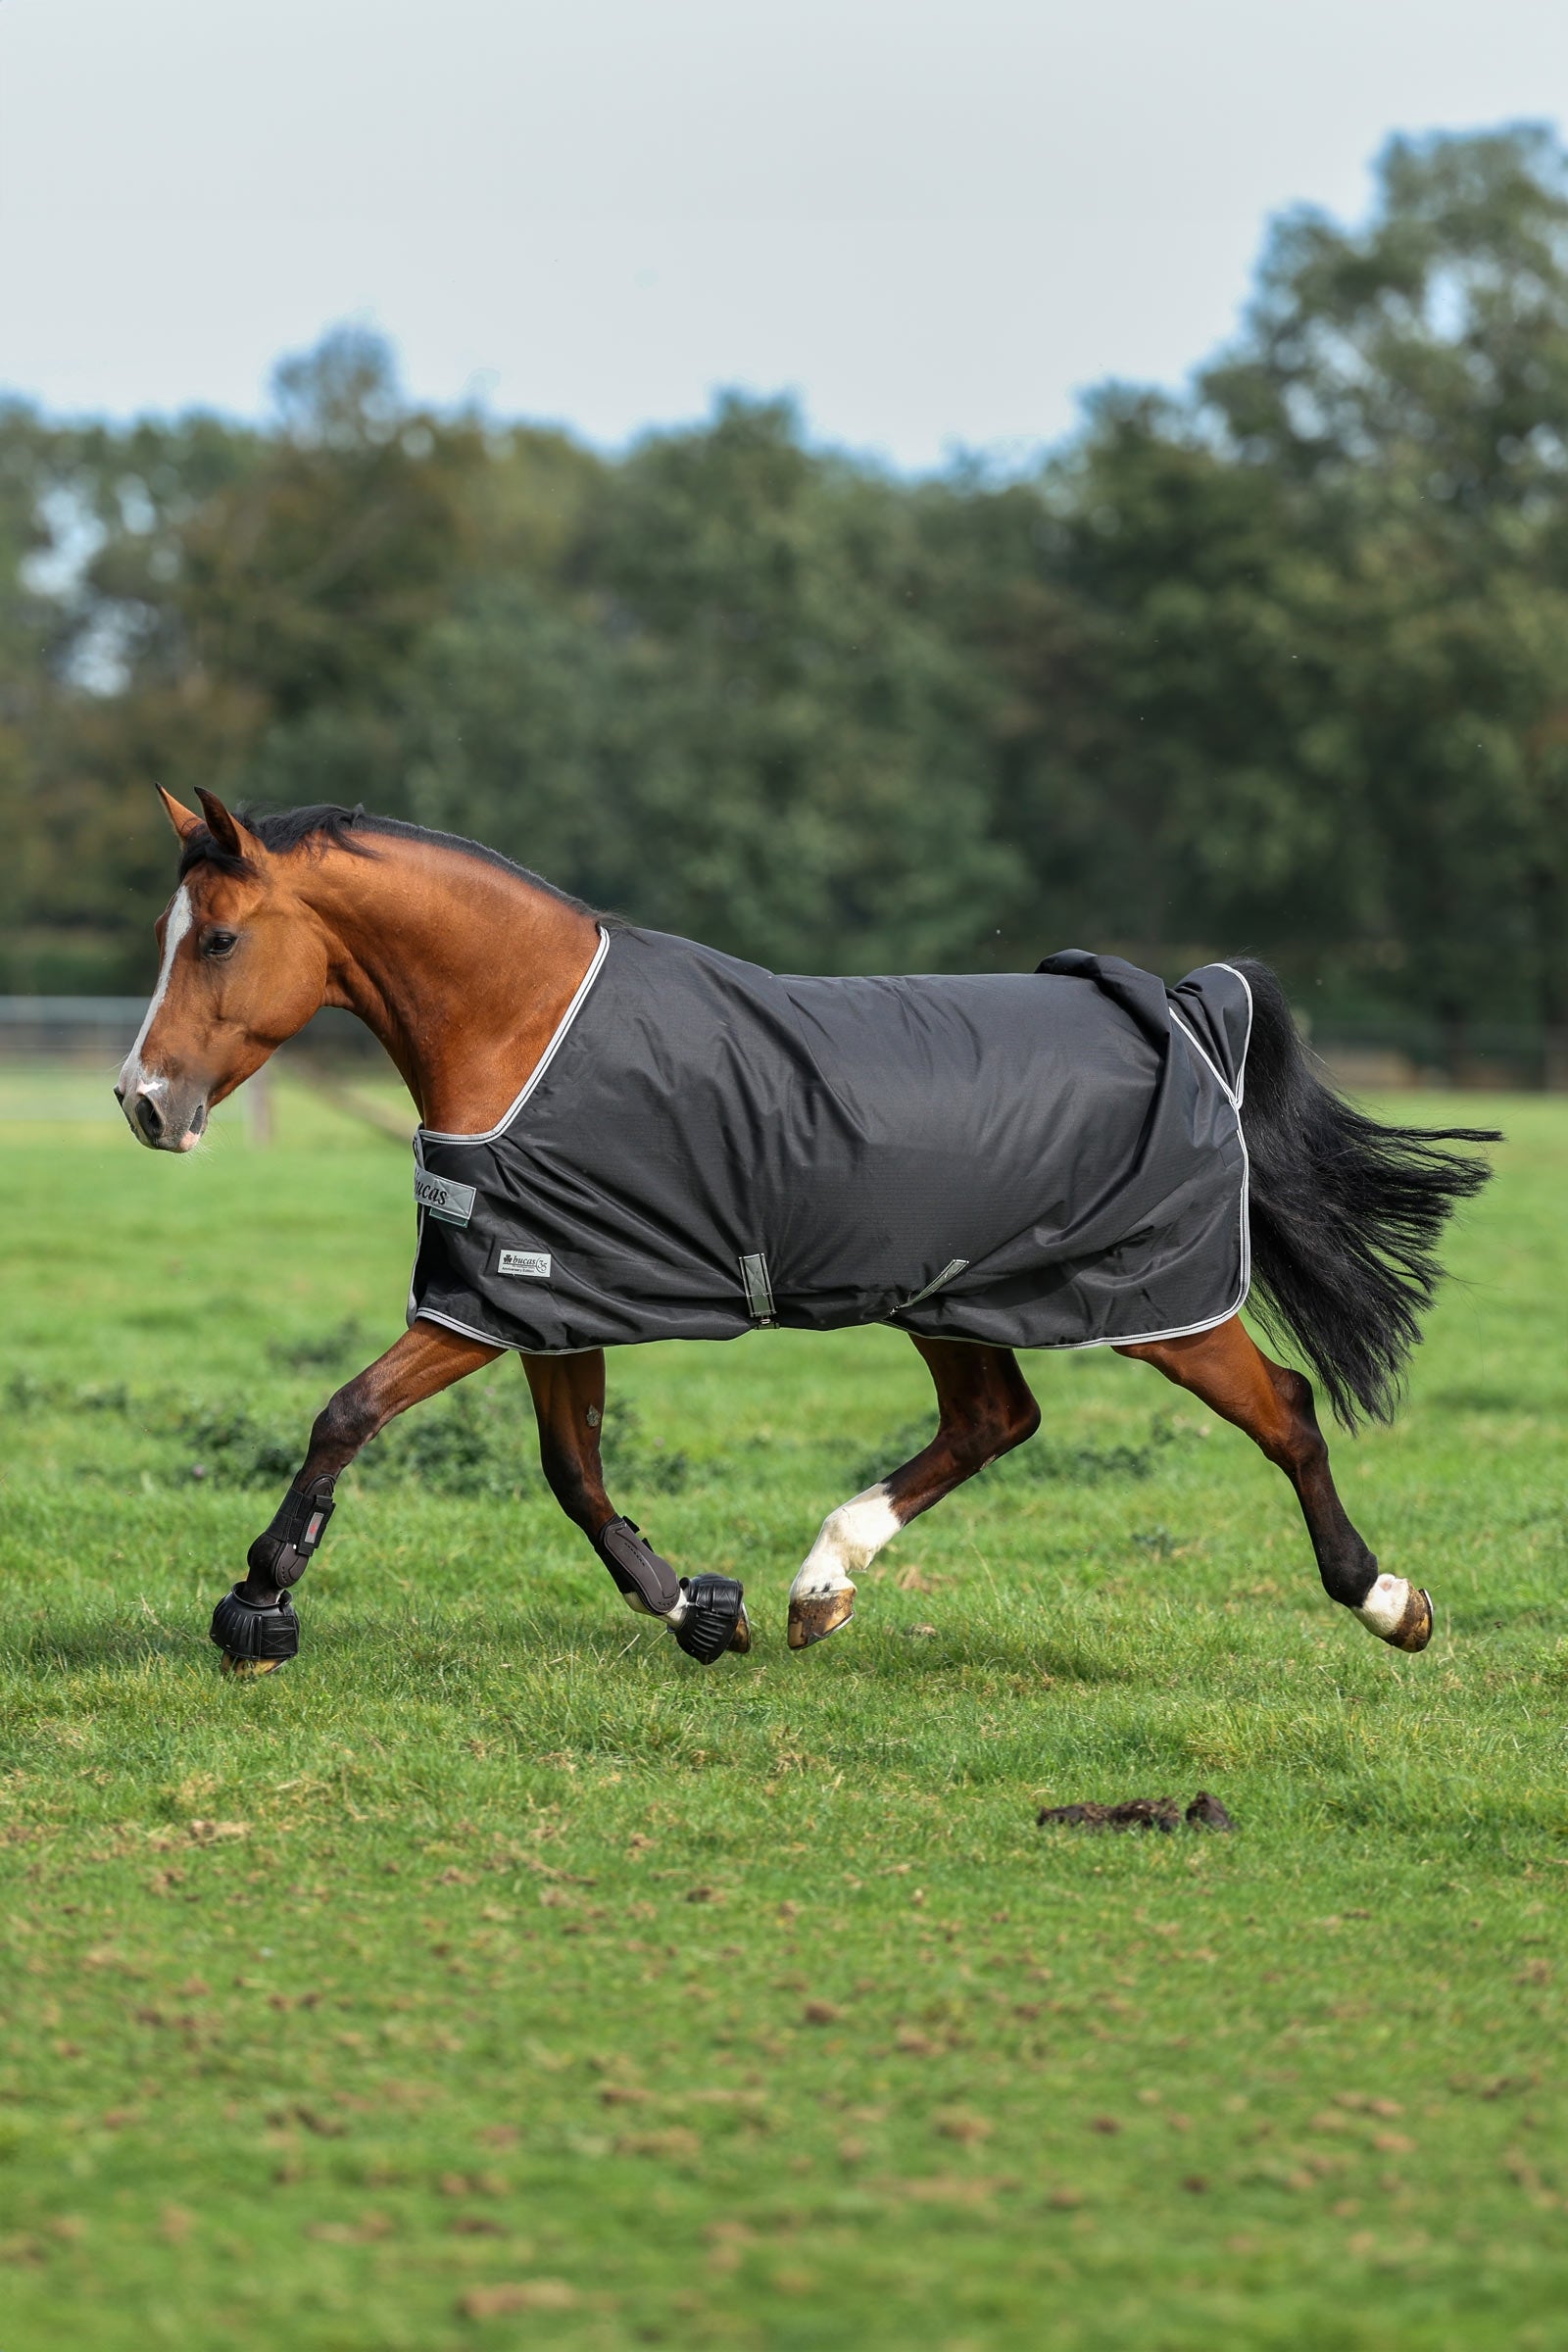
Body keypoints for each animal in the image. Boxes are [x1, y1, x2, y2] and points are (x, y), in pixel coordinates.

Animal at [117, 787, 1497, 1674]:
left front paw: (259, 1599)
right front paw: (695, 1609)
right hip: (950, 1297)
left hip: (1153, 1308)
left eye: (222, 937)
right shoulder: (545, 1291)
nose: (143, 1102)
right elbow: (574, 1474)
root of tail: (1180, 1008)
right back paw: (818, 1586)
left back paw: (1386, 1602)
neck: (528, 1026)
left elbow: (347, 1412)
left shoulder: (495, 1302)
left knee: (1285, 1413)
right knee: (993, 1421)